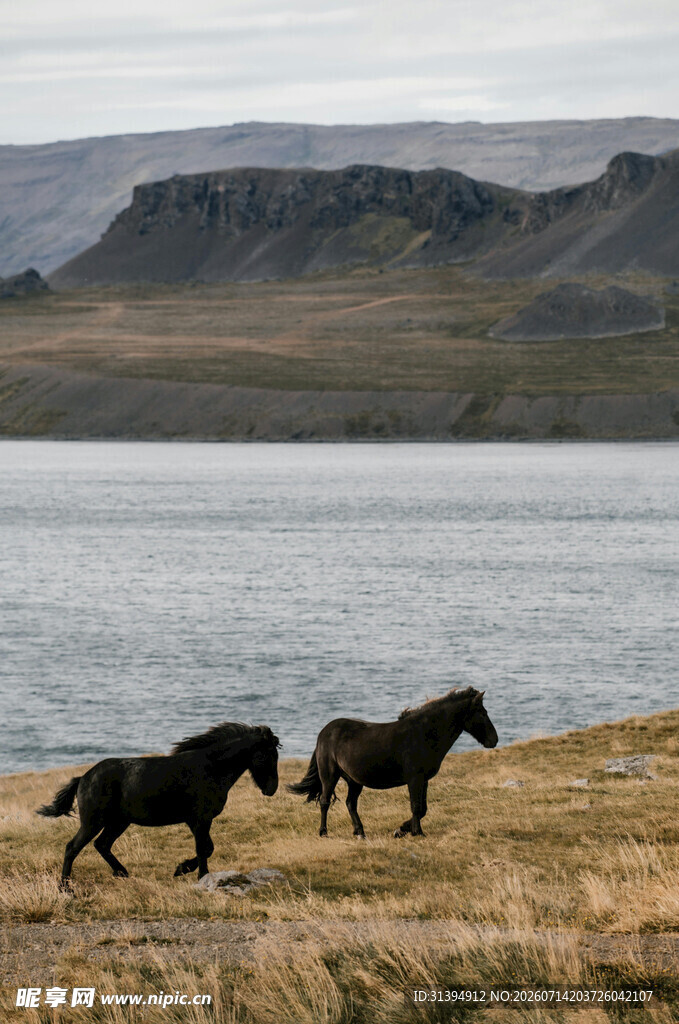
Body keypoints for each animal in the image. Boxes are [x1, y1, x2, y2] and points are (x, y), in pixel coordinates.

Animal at [37, 722, 280, 887]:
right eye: (264, 756)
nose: (271, 789)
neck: (210, 768)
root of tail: (83, 778)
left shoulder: (198, 820)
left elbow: (208, 848)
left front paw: (182, 869)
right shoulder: (199, 819)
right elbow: (203, 848)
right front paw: (197, 875)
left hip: (118, 822)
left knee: (102, 845)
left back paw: (122, 873)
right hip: (93, 822)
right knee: (72, 847)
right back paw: (65, 888)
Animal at [288, 687, 497, 838]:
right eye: (482, 712)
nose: (494, 740)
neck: (424, 733)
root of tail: (323, 733)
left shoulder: (424, 780)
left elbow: (423, 809)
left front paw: (402, 830)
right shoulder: (415, 779)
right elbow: (416, 807)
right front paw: (416, 833)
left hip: (354, 780)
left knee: (350, 803)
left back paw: (360, 832)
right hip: (329, 775)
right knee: (324, 801)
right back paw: (323, 832)